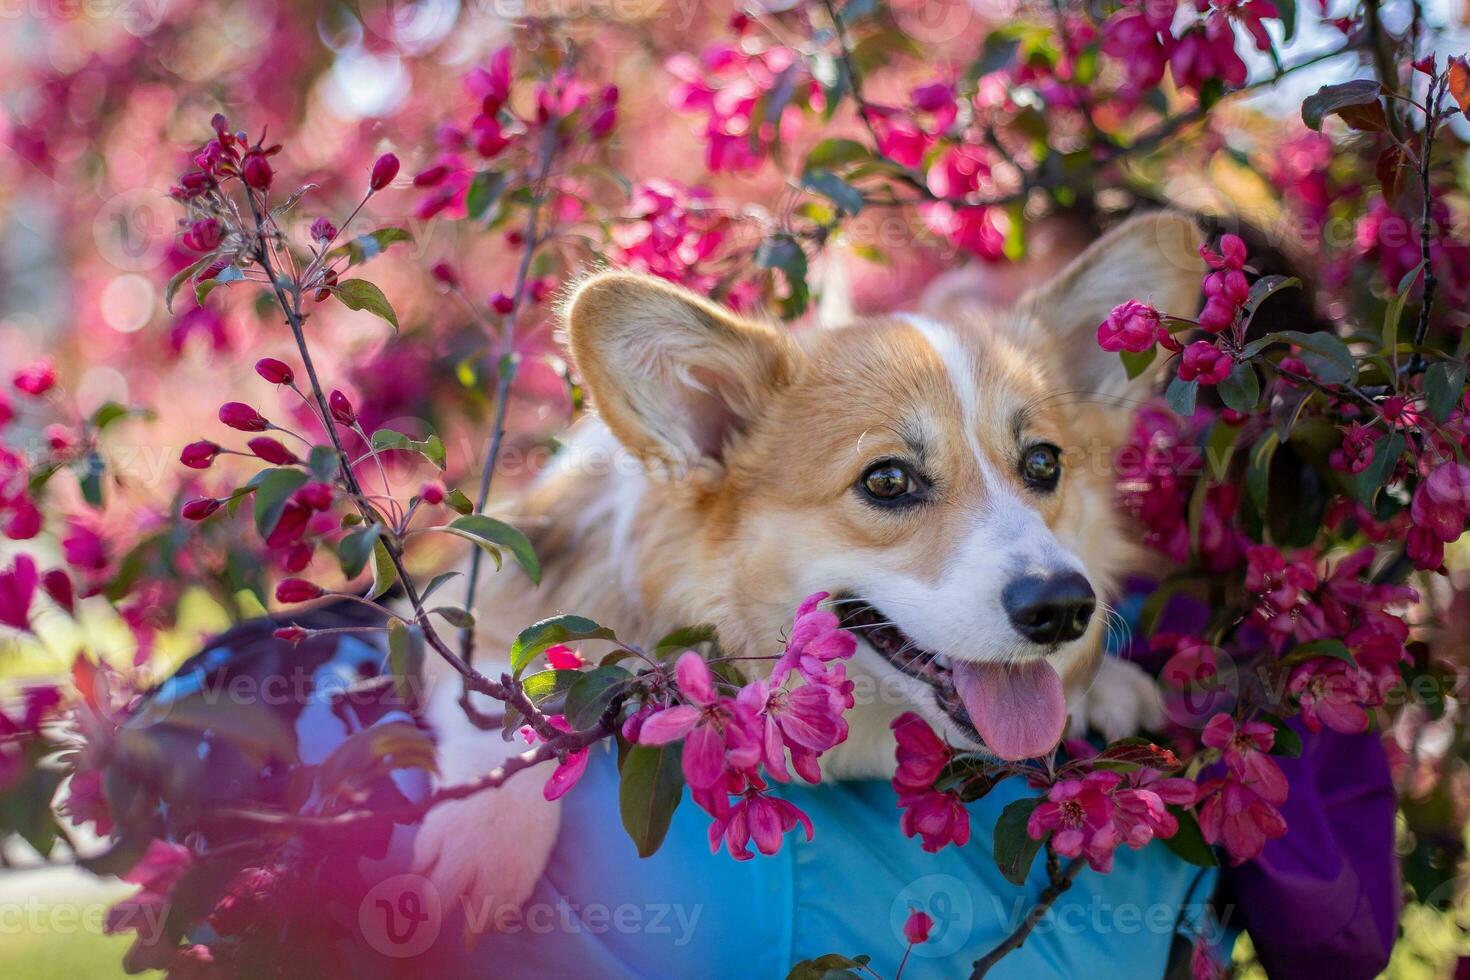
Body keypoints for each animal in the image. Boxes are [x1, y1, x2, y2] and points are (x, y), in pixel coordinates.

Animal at [411, 208, 1205, 922]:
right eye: (887, 481)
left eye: (1044, 464)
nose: (1063, 608)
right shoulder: (486, 613)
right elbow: (503, 709)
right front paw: (481, 841)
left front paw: (1105, 682)